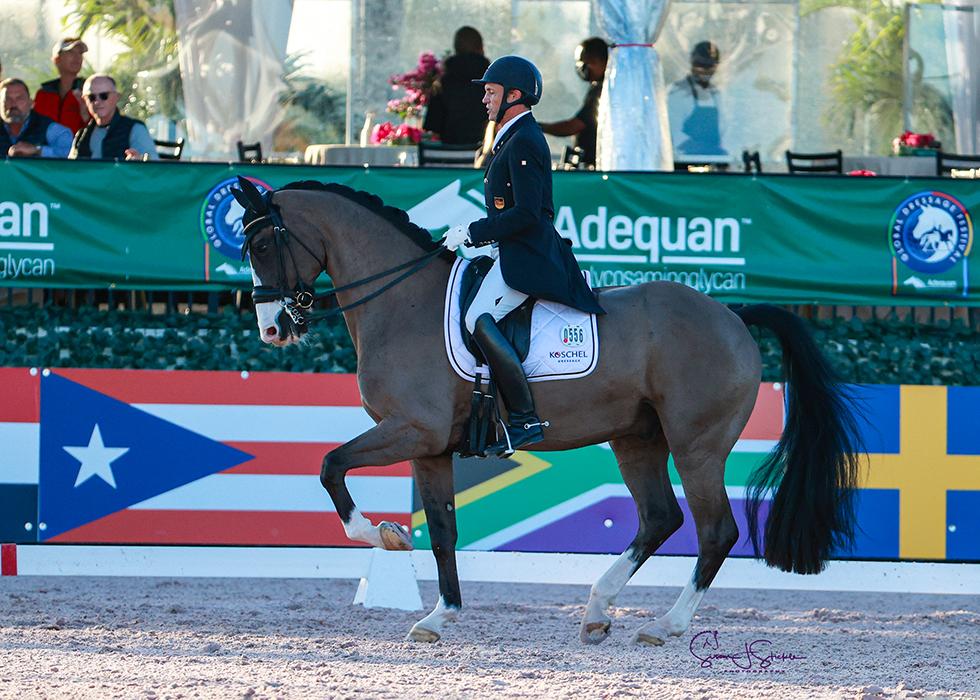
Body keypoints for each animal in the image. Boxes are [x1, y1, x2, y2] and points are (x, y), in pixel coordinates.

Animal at [230, 176, 856, 644]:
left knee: (715, 529)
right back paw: (598, 610)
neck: (401, 302)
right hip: (637, 439)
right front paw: (439, 615)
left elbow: (330, 466)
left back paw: (666, 625)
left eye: (260, 247)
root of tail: (732, 315)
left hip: (695, 445)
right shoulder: (429, 447)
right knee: (660, 518)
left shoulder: (410, 430)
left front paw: (383, 535)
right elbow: (443, 530)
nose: (272, 329)